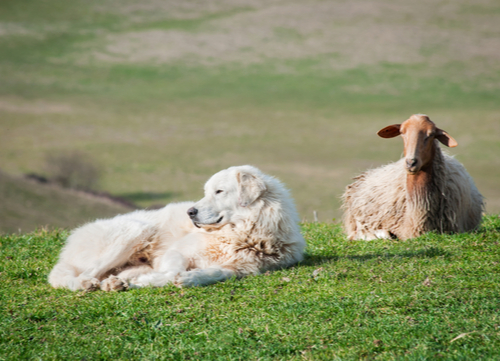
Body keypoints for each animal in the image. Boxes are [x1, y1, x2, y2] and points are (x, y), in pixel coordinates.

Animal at [47, 165, 304, 292]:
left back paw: (114, 283)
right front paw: (169, 279)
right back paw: (86, 284)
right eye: (206, 191)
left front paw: (192, 278)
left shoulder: (243, 268)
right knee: (74, 276)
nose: (190, 212)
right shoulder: (176, 252)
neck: (241, 233)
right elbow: (171, 272)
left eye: (219, 191)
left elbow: (218, 272)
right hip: (135, 232)